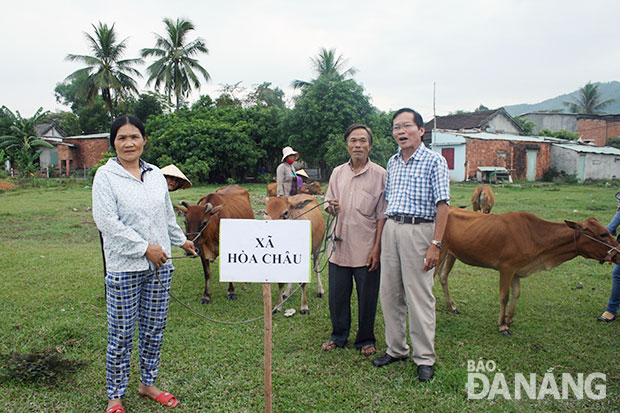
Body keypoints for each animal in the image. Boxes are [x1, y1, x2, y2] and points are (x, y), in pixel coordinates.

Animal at [436, 208, 620, 334]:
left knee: (443, 277)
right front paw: (502, 325)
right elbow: (504, 296)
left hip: (451, 254)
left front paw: (509, 319)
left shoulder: (517, 270)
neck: (536, 236)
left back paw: (451, 307)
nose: (618, 252)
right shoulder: (506, 268)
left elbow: (517, 293)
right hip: (440, 253)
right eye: (603, 234)